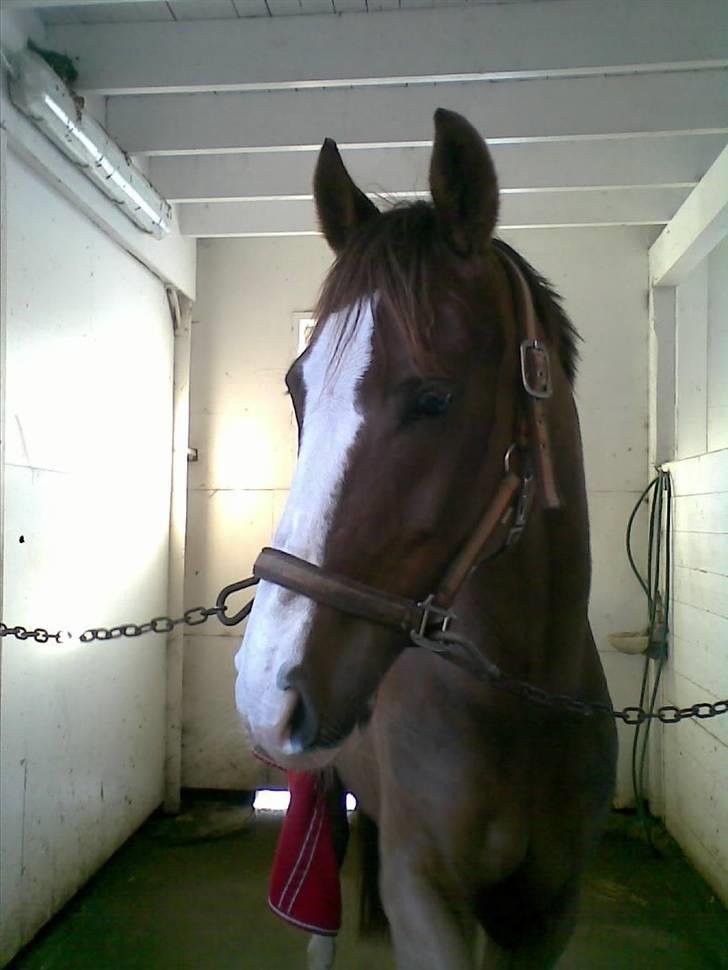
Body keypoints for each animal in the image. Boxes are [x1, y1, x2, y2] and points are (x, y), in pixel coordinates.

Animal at [234, 108, 617, 970]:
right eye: (296, 388)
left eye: (435, 399)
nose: (264, 692)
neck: (518, 697)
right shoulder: (424, 894)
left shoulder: (546, 912)